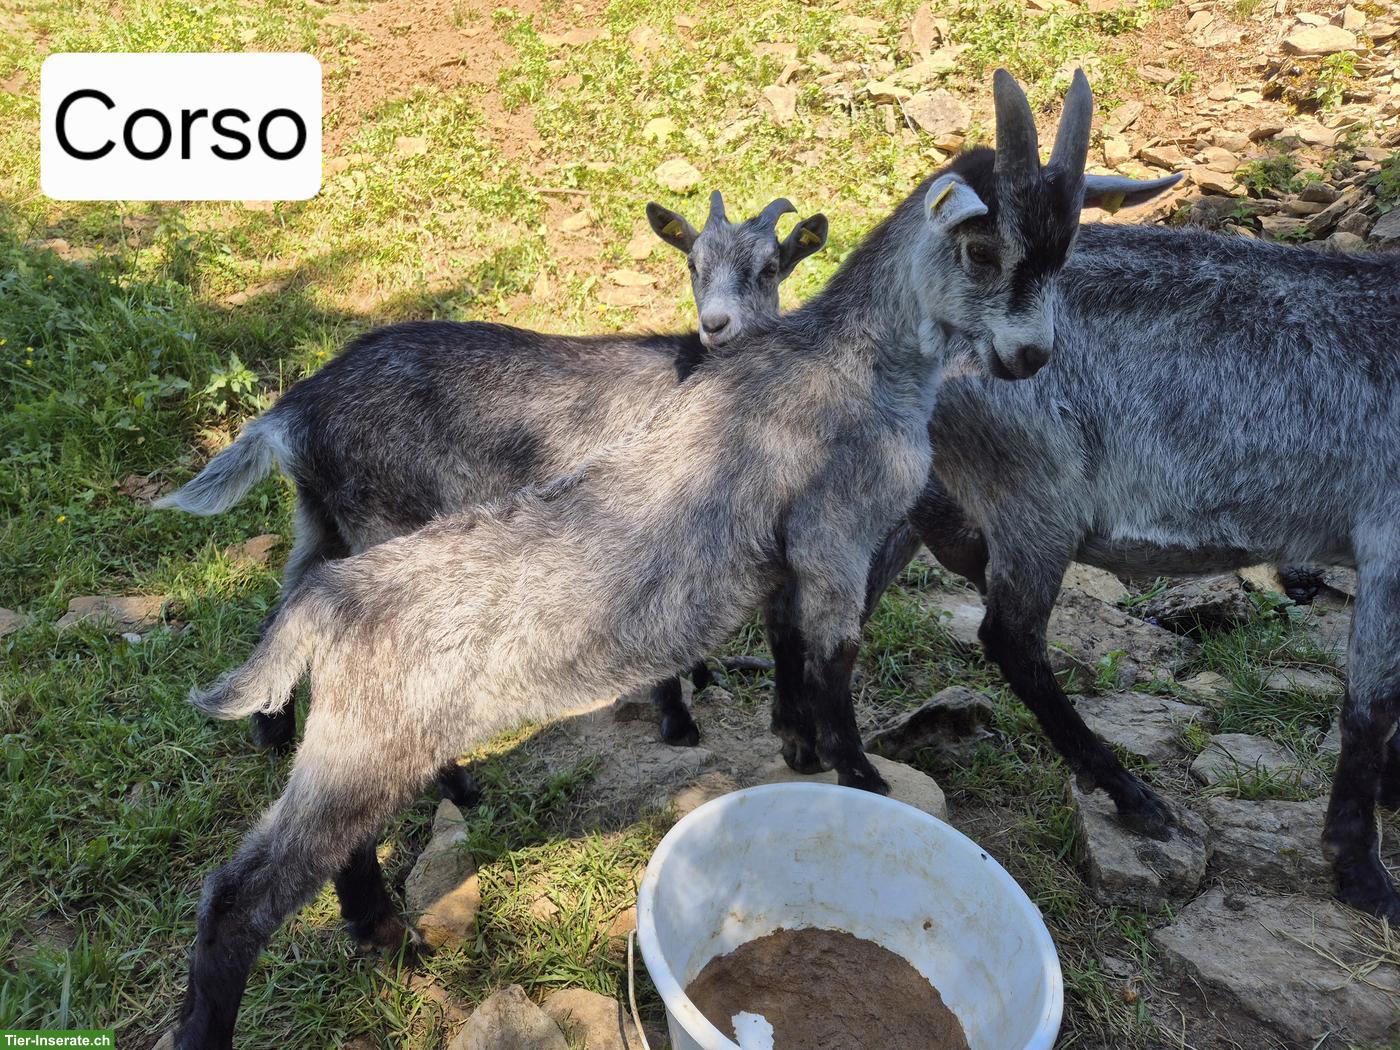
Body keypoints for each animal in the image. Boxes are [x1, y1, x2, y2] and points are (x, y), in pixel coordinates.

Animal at [156, 193, 829, 788]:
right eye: (693, 264)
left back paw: (270, 734)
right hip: (380, 520)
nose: (717, 325)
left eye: (770, 268)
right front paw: (678, 724)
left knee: (285, 606)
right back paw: (453, 780)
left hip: (321, 515)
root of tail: (295, 409)